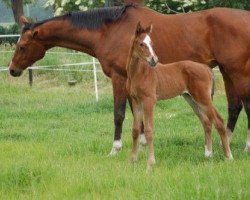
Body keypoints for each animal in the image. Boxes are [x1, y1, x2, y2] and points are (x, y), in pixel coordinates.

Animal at [128, 22, 233, 168]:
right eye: (141, 44)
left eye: (151, 43)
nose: (154, 60)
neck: (139, 74)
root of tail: (206, 68)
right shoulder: (136, 101)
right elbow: (135, 130)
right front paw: (132, 160)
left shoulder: (149, 101)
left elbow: (148, 130)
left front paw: (150, 163)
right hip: (192, 99)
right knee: (206, 122)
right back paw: (208, 154)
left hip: (203, 98)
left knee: (218, 121)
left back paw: (228, 156)